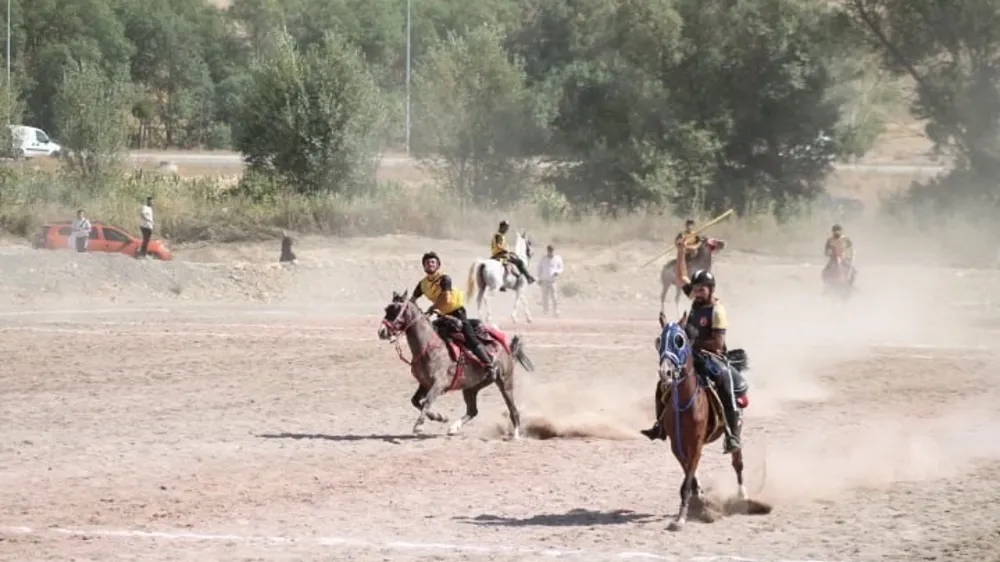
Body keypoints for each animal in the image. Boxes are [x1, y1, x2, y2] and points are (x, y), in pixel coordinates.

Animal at [376, 288, 536, 438]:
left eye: (397, 309)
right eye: (386, 309)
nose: (381, 331)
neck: (429, 346)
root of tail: (507, 348)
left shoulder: (439, 384)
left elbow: (427, 401)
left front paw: (419, 426)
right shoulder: (424, 384)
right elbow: (416, 401)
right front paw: (440, 417)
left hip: (505, 383)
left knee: (513, 410)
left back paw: (516, 435)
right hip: (471, 388)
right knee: (473, 411)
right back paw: (453, 427)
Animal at [652, 312, 752, 528]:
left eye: (679, 340)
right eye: (659, 341)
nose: (665, 372)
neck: (685, 402)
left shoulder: (696, 443)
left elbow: (689, 476)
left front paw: (681, 518)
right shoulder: (677, 444)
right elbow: (689, 474)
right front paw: (699, 498)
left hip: (736, 429)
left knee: (738, 462)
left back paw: (743, 495)